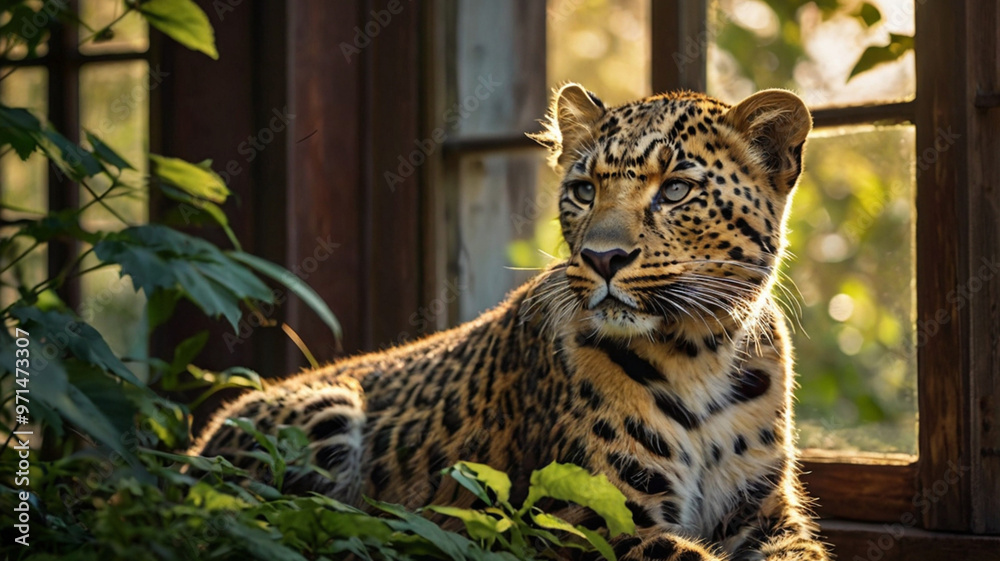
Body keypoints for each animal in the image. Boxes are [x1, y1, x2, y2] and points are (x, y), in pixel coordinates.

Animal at [194, 83, 830, 561]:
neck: (702, 353)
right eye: (583, 191)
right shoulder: (587, 518)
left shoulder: (766, 515)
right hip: (326, 409)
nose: (601, 258)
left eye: (675, 190)